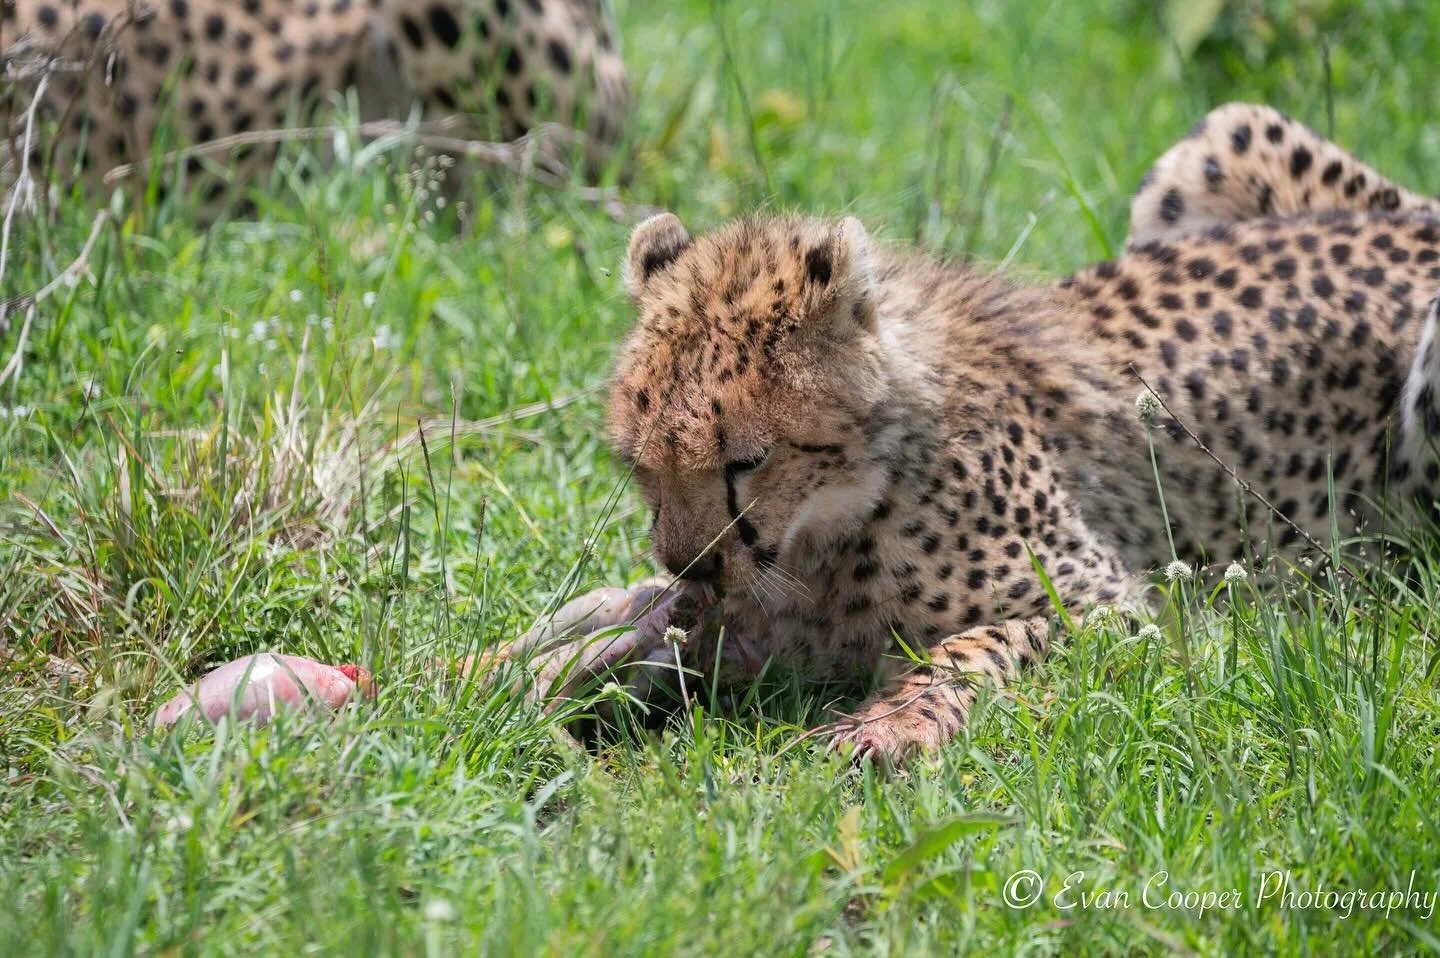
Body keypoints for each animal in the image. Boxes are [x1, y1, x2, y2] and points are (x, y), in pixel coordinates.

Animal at [501, 102, 1440, 766]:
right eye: (641, 468)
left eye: (747, 460)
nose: (687, 563)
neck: (843, 510)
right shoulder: (751, 628)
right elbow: (627, 627)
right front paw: (512, 670)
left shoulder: (1117, 607)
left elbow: (973, 646)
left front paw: (888, 725)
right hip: (1218, 138)